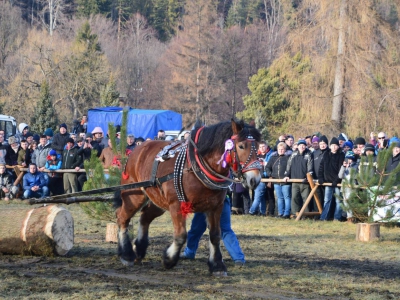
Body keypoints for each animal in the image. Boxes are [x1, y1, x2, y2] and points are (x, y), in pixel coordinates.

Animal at [114, 119, 260, 274]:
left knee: (144, 217)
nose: (254, 179)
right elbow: (181, 236)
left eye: (258, 146)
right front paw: (169, 260)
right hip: (134, 196)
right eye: (241, 146)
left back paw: (139, 250)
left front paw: (217, 265)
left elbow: (215, 235)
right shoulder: (176, 206)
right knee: (122, 217)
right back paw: (127, 255)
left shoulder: (216, 207)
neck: (196, 167)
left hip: (158, 201)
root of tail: (136, 150)